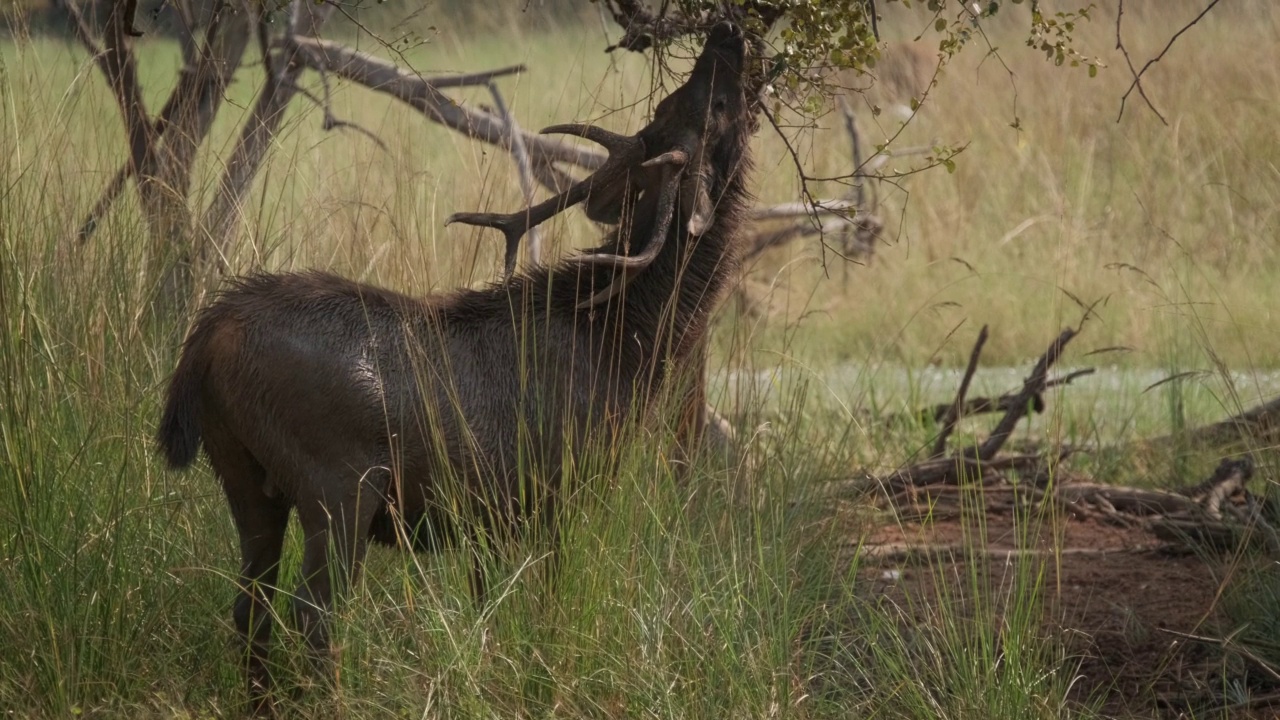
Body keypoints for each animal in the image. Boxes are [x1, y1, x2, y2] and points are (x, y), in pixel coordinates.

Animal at [158, 20, 752, 707]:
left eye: (675, 104)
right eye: (712, 106)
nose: (727, 34)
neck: (627, 344)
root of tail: (206, 337)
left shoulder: (490, 518)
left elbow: (488, 612)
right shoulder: (562, 492)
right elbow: (546, 606)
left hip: (242, 474)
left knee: (251, 604)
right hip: (337, 483)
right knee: (315, 612)